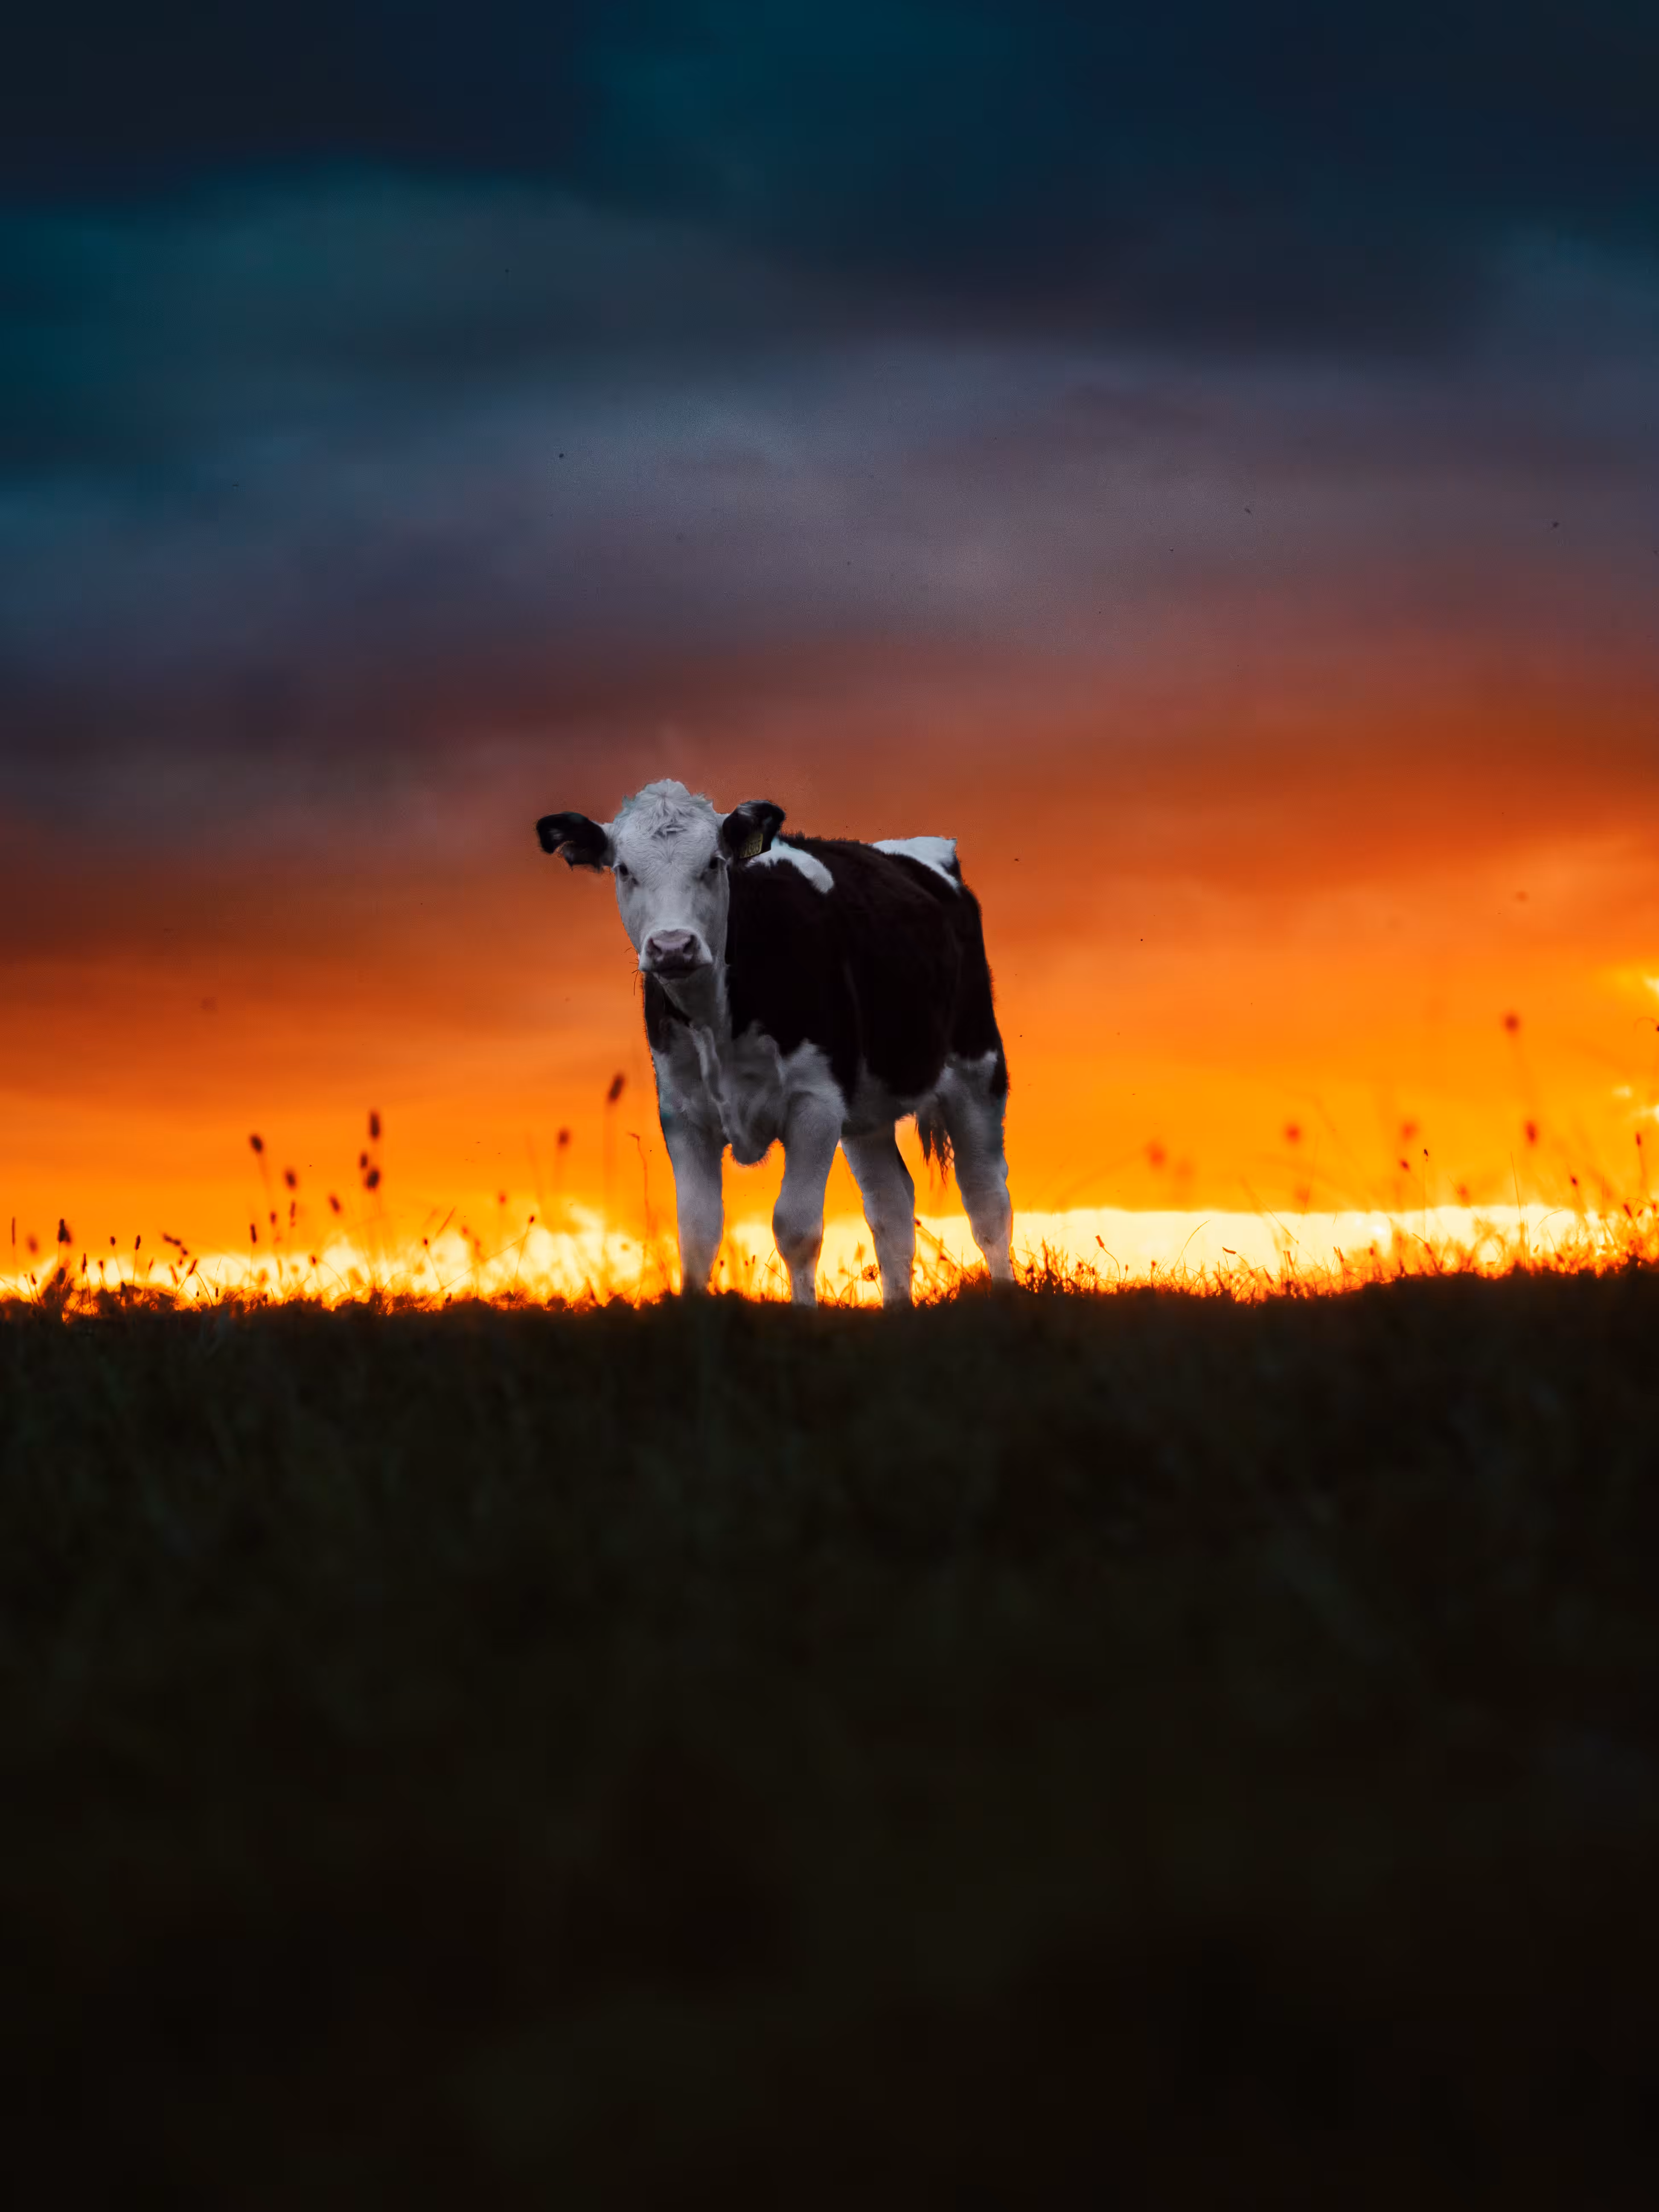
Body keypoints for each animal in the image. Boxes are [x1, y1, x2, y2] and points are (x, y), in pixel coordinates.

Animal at [536, 780, 1011, 1305]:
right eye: (623, 869)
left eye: (714, 863)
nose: (673, 946)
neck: (718, 1021)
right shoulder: (683, 1114)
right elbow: (697, 1232)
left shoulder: (815, 1103)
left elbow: (796, 1228)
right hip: (867, 1112)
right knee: (892, 1205)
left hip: (978, 1070)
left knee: (987, 1201)